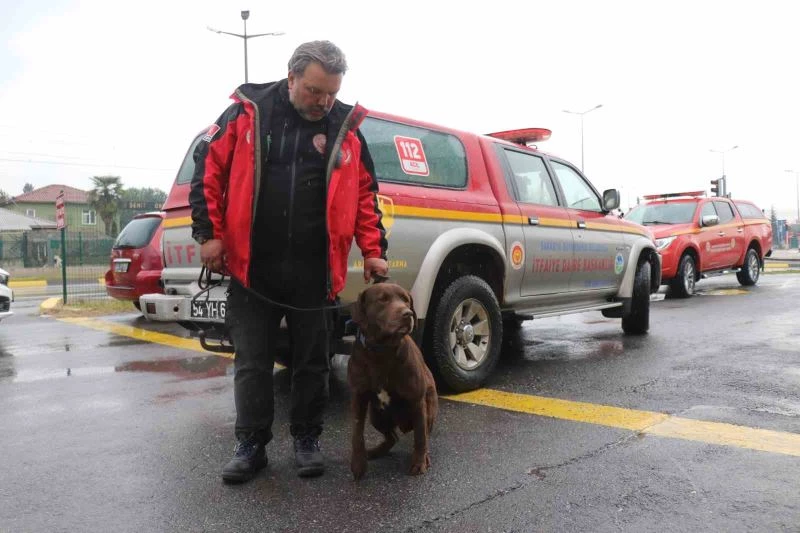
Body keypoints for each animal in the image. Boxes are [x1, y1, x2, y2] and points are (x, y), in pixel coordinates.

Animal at [348, 282, 440, 478]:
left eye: (406, 299)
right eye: (382, 299)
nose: (408, 314)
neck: (382, 351)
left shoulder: (417, 401)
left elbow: (420, 437)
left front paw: (419, 462)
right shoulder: (359, 396)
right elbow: (357, 434)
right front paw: (358, 464)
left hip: (428, 409)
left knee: (424, 434)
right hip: (376, 416)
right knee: (393, 437)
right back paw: (375, 451)